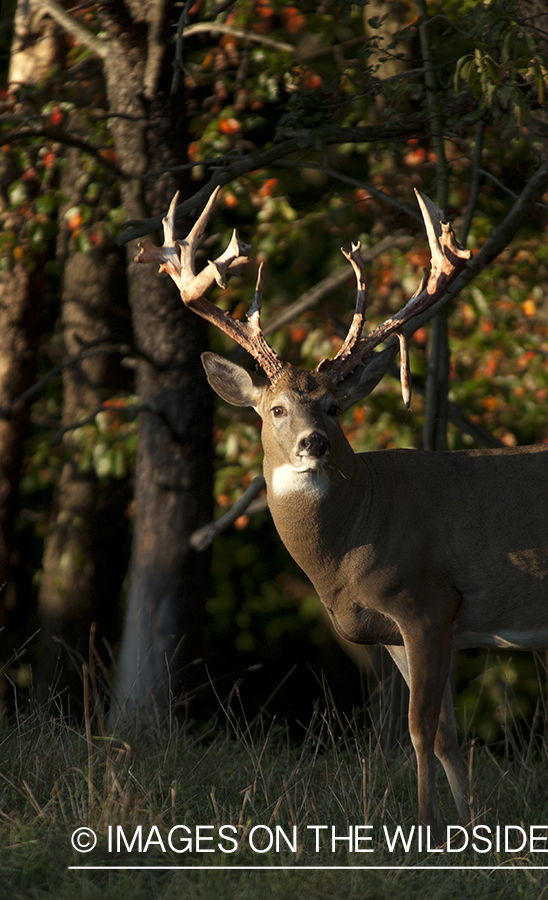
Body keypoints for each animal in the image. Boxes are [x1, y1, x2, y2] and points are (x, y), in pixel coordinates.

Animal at [135, 186, 548, 840]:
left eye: (333, 406)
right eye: (276, 408)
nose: (314, 443)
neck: (351, 542)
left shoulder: (428, 603)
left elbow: (419, 731)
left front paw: (424, 830)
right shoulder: (400, 631)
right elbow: (448, 736)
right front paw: (470, 831)